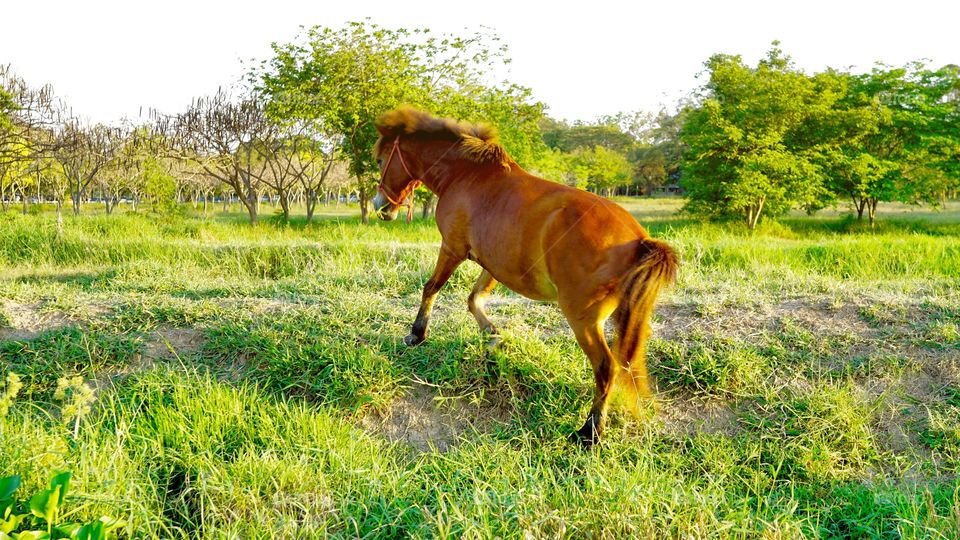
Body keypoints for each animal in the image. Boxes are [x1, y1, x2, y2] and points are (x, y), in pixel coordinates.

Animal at [372, 107, 678, 445]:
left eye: (381, 160)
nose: (380, 206)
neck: (467, 176)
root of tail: (640, 241)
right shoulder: (492, 262)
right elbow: (474, 298)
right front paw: (492, 336)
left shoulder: (452, 248)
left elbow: (432, 288)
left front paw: (417, 333)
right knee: (624, 365)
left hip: (583, 320)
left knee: (606, 367)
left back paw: (590, 430)